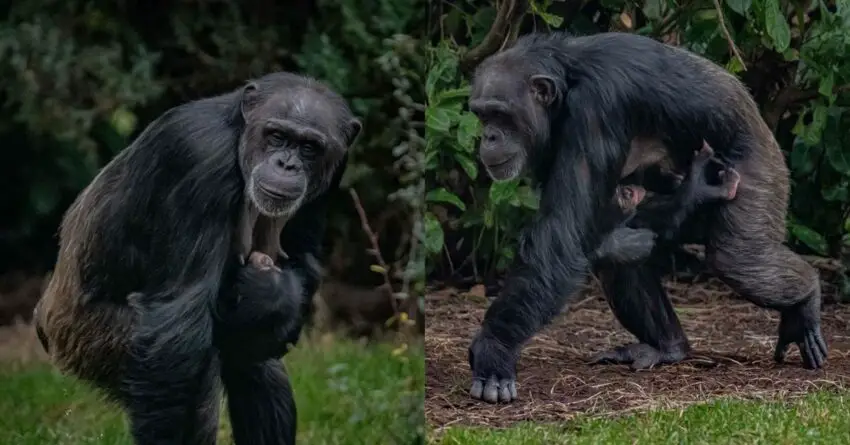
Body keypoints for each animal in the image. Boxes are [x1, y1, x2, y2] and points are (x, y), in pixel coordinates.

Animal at [31, 71, 358, 442]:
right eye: (277, 136)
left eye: (309, 148)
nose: (286, 164)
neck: (239, 138)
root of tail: (45, 324)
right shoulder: (198, 158)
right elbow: (178, 321)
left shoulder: (335, 169)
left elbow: (302, 258)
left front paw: (270, 293)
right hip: (94, 341)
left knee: (259, 368)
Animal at [464, 32, 820, 402]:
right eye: (482, 115)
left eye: (501, 115)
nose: (488, 136)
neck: (566, 85)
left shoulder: (595, 110)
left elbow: (560, 237)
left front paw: (495, 350)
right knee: (623, 249)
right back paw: (668, 346)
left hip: (759, 169)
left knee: (739, 259)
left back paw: (805, 301)